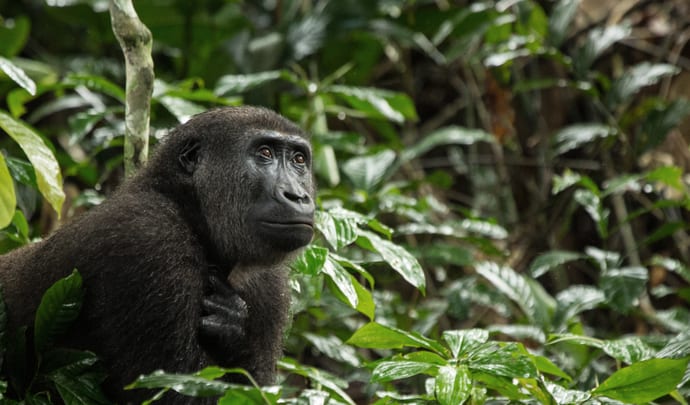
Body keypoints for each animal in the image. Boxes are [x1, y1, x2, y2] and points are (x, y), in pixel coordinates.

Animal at [0, 106, 315, 404]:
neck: (189, 210)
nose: (298, 196)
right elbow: (175, 394)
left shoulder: (270, 286)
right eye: (265, 153)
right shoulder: (149, 238)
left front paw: (233, 330)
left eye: (299, 160)